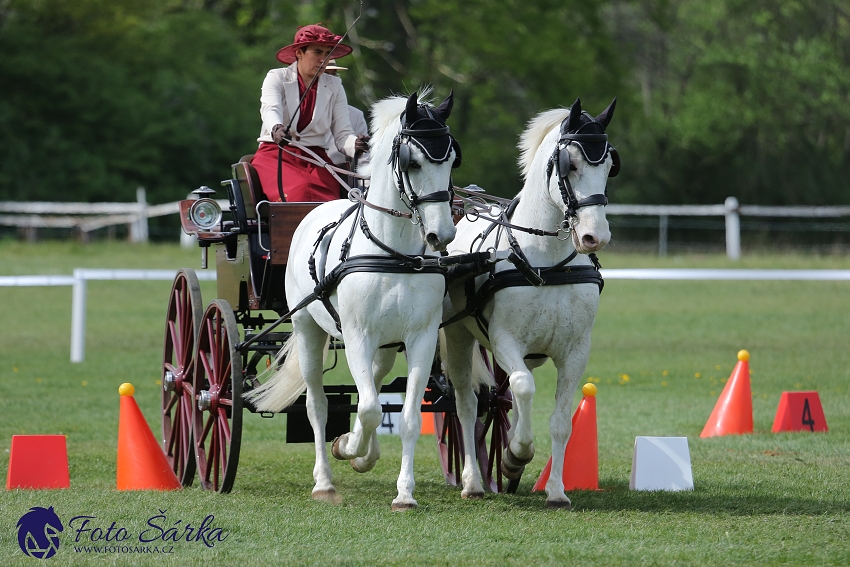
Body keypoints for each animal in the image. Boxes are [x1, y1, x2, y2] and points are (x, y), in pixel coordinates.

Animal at [243, 92, 458, 510]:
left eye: (453, 159)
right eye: (413, 161)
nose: (442, 234)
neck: (392, 252)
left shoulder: (420, 339)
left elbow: (405, 416)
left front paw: (403, 493)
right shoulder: (358, 335)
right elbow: (370, 408)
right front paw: (348, 447)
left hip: (386, 345)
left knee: (370, 385)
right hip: (307, 328)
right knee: (318, 404)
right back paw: (325, 482)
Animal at [440, 98, 612, 510]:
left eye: (610, 165)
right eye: (570, 164)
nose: (594, 236)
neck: (547, 261)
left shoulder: (575, 351)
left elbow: (561, 421)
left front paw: (557, 491)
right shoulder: (505, 340)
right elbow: (523, 388)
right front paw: (515, 455)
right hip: (458, 335)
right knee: (467, 404)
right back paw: (472, 480)